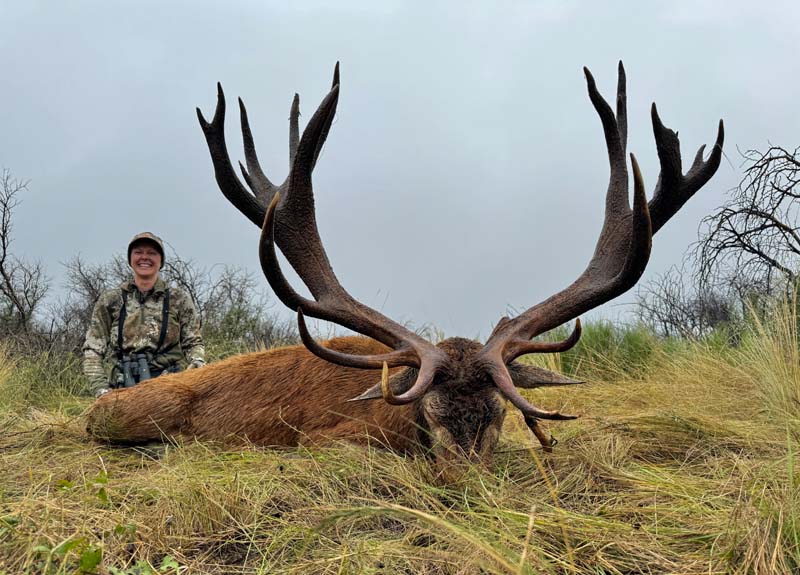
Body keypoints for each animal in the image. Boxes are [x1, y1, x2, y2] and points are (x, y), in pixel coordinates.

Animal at [86, 62, 723, 476]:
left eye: (496, 418)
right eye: (431, 417)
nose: (465, 485)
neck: (398, 423)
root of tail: (98, 404)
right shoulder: (332, 439)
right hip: (124, 417)